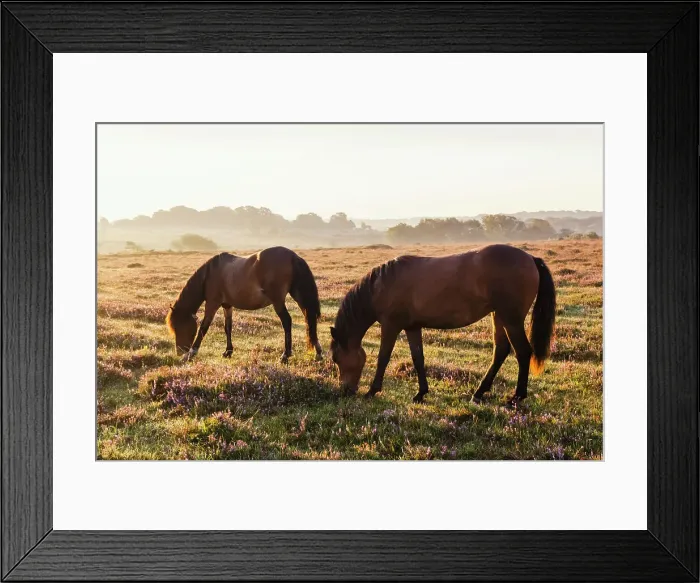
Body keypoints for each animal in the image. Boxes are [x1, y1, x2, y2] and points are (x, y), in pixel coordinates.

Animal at [166, 246, 323, 363]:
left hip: (278, 301)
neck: (210, 274)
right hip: (299, 297)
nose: (179, 352)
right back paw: (318, 353)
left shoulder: (212, 304)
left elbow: (203, 328)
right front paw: (228, 351)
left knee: (287, 321)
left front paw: (191, 354)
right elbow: (228, 327)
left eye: (178, 326)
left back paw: (285, 355)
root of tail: (293, 257)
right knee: (310, 320)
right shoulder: (227, 305)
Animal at [329, 244, 556, 407]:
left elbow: (382, 358)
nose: (345, 390)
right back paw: (479, 393)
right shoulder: (412, 327)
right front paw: (420, 393)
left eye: (336, 358)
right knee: (500, 351)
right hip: (498, 316)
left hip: (511, 319)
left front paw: (372, 391)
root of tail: (531, 259)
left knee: (523, 352)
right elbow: (418, 358)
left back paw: (516, 397)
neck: (381, 285)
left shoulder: (390, 326)